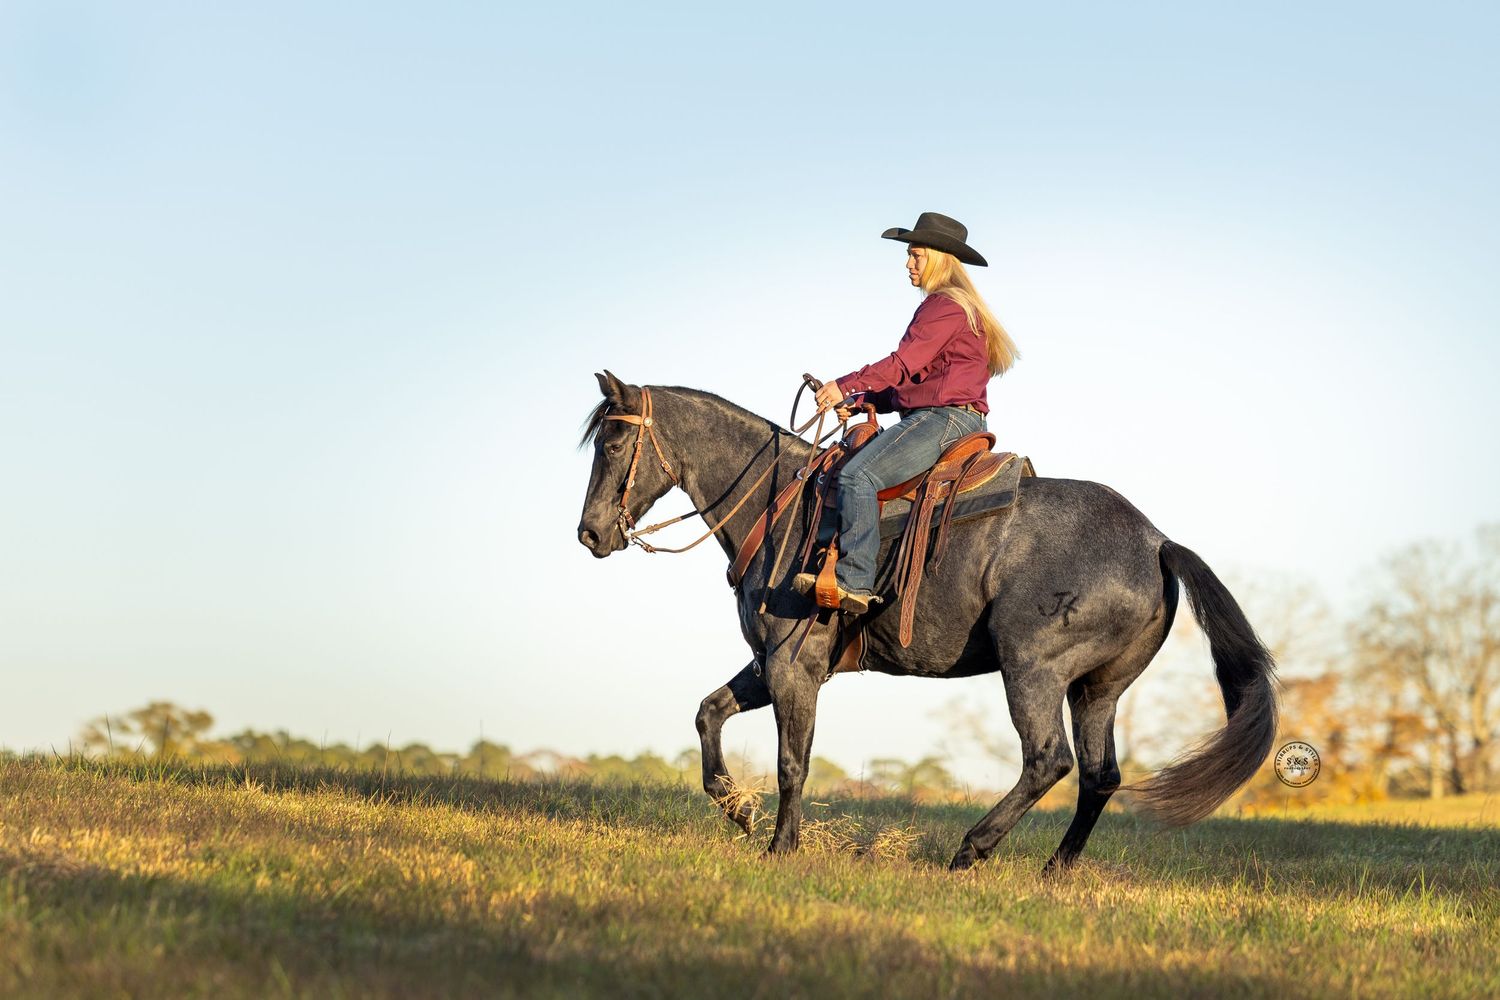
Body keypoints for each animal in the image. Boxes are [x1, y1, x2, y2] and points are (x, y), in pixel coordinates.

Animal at [576, 371, 1278, 872]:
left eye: (612, 442)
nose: (591, 533)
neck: (782, 508)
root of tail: (1156, 542)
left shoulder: (793, 666)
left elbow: (791, 760)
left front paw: (781, 848)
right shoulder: (770, 663)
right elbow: (709, 713)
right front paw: (738, 811)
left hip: (1033, 672)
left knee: (1048, 760)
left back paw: (971, 849)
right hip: (1096, 690)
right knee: (1099, 776)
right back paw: (1055, 869)